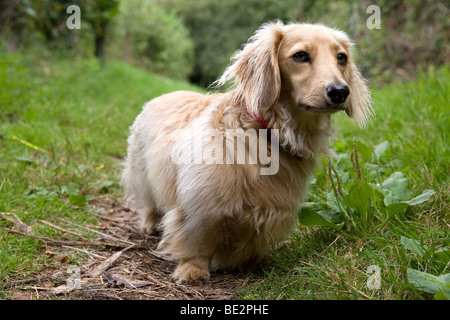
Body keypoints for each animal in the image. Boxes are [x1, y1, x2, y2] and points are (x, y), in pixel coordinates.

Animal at [121, 21, 370, 284]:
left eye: (341, 57)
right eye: (300, 56)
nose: (340, 92)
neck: (268, 131)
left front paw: (252, 262)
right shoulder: (199, 204)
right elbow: (198, 239)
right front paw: (193, 269)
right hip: (142, 173)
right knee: (149, 201)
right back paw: (150, 223)